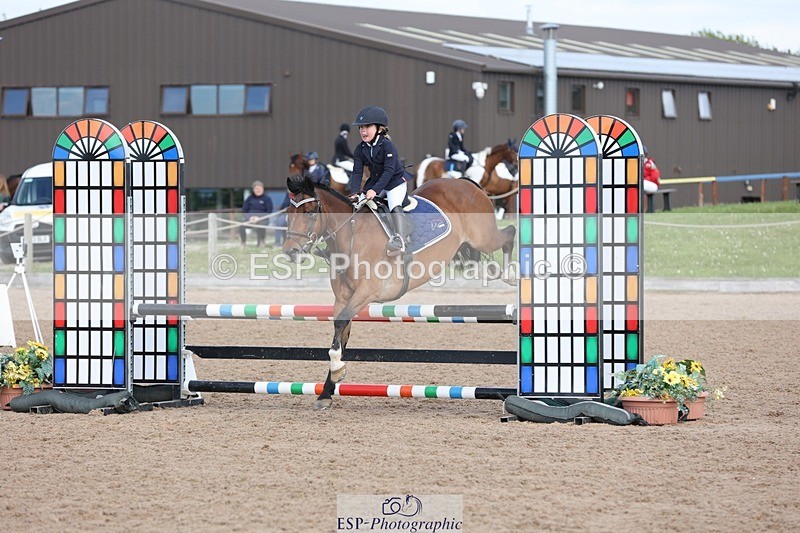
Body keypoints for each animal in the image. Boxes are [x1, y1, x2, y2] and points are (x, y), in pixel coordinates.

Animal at [283, 174, 516, 410]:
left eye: (310, 212)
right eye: (288, 215)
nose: (290, 252)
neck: (350, 236)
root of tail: (464, 182)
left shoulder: (366, 292)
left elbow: (340, 323)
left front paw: (338, 372)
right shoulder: (342, 298)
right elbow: (340, 333)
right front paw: (327, 392)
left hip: (484, 238)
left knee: (509, 232)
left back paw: (511, 274)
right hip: (469, 249)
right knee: (483, 263)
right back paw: (497, 272)